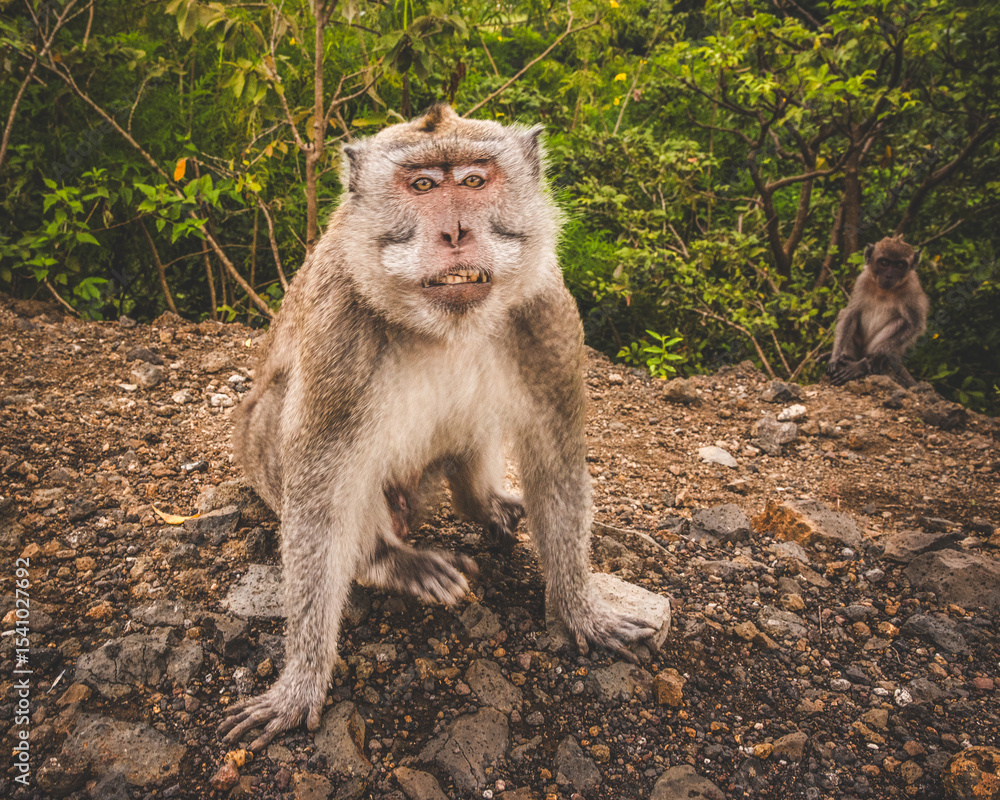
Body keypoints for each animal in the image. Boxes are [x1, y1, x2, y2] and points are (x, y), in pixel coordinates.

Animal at [218, 104, 657, 751]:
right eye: (423, 185)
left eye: (473, 181)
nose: (455, 233)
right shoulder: (341, 328)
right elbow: (322, 495)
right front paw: (301, 683)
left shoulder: (547, 313)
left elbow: (555, 461)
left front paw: (581, 609)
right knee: (287, 423)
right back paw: (392, 559)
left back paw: (482, 501)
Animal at [827, 235, 929, 388]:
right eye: (884, 262)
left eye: (900, 265)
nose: (889, 275)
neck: (884, 290)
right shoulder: (862, 281)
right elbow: (850, 314)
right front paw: (835, 356)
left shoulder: (911, 289)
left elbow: (915, 325)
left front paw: (870, 361)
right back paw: (847, 358)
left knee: (901, 323)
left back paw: (865, 364)